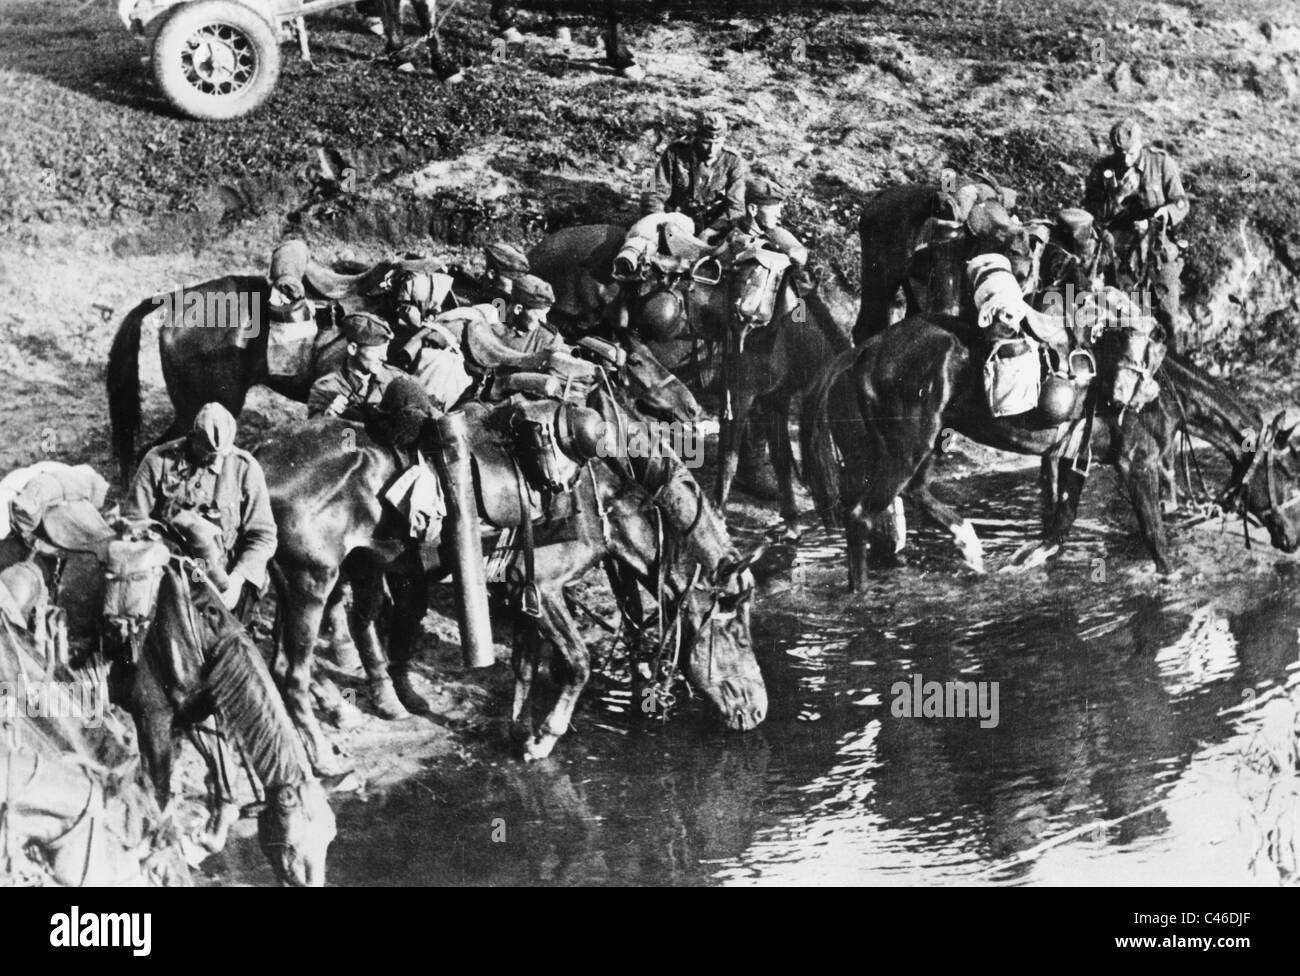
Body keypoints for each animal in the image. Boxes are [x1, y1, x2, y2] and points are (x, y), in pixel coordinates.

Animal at [800, 314, 1300, 587]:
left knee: (916, 492)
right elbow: (1156, 540)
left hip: (924, 444)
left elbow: (1058, 529)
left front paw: (1021, 563)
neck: (1163, 391)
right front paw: (1173, 579)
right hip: (907, 445)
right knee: (862, 515)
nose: (1292, 539)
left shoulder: (1071, 461)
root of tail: (865, 350)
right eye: (1289, 473)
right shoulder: (1137, 466)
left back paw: (970, 547)